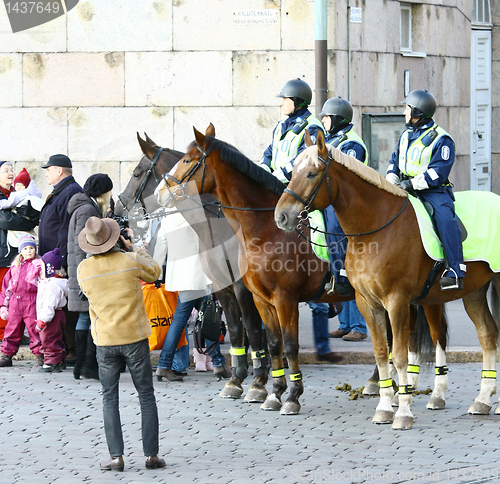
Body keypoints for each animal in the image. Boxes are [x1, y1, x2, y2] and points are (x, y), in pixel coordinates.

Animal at [115, 134, 270, 402]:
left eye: (136, 173)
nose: (116, 211)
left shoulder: (243, 287)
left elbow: (251, 328)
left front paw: (256, 377)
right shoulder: (226, 288)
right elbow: (238, 328)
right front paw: (239, 375)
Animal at [274, 130, 500, 430]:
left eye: (311, 173)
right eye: (293, 171)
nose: (281, 216)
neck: (374, 230)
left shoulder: (397, 301)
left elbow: (401, 355)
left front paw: (402, 411)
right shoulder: (368, 303)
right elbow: (382, 352)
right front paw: (384, 406)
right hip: (473, 291)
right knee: (488, 335)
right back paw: (483, 400)